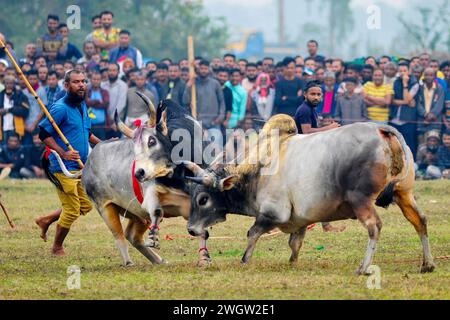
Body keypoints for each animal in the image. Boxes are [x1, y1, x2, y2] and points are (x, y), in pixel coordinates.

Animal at [185, 115, 434, 276]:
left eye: (203, 199)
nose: (191, 229)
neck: (256, 170)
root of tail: (383, 131)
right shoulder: (301, 220)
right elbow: (295, 243)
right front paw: (292, 262)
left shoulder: (273, 213)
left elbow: (253, 233)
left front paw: (245, 260)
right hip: (404, 194)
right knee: (420, 221)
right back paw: (427, 264)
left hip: (361, 200)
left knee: (374, 227)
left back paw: (363, 268)